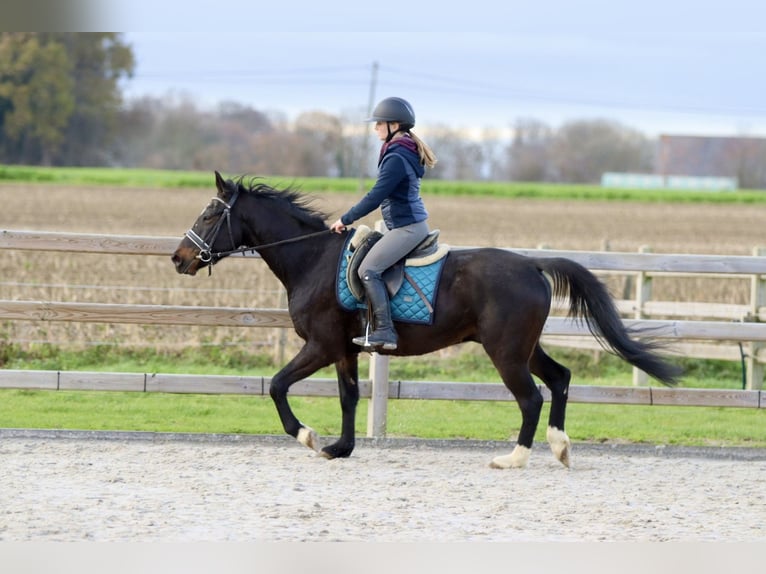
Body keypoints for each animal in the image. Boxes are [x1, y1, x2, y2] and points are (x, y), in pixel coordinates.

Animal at [171, 172, 681, 469]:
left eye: (211, 213)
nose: (179, 258)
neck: (312, 258)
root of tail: (532, 265)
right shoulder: (344, 350)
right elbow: (348, 397)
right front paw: (341, 448)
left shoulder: (320, 345)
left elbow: (278, 386)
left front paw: (309, 438)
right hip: (524, 347)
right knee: (559, 378)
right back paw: (559, 447)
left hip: (505, 352)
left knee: (531, 397)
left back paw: (514, 458)